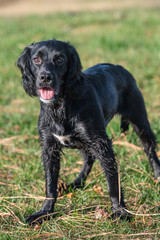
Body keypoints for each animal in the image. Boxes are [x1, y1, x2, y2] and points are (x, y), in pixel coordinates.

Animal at [16, 39, 160, 225]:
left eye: (60, 60)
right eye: (36, 59)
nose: (45, 77)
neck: (61, 106)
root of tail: (120, 67)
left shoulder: (102, 143)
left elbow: (112, 180)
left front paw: (119, 210)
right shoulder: (49, 147)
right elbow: (50, 184)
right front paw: (44, 212)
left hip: (139, 120)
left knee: (149, 149)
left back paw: (157, 175)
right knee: (89, 159)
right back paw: (77, 183)